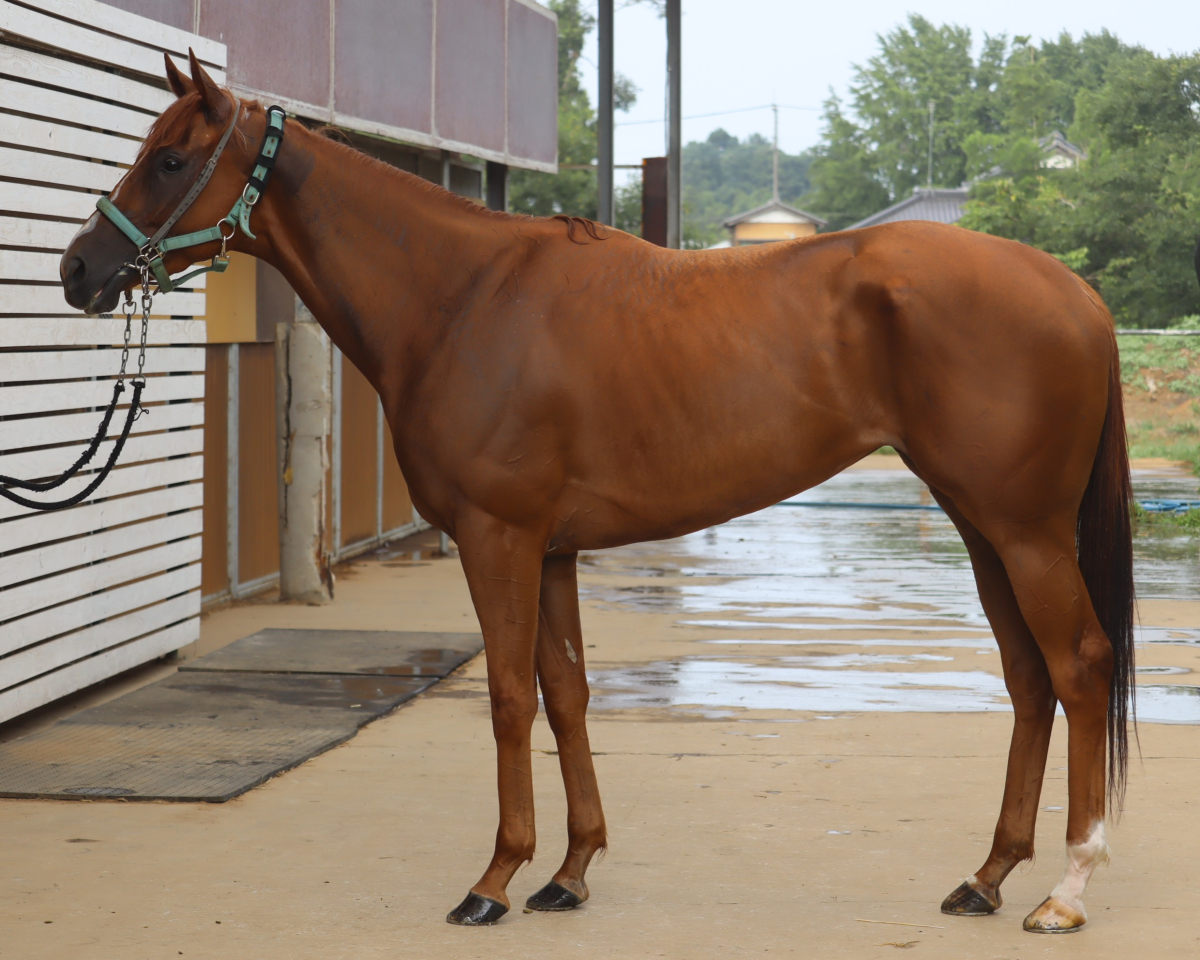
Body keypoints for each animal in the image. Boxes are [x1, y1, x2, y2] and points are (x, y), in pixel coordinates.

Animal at [61, 52, 1134, 934]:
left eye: (168, 160)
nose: (79, 271)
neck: (461, 297)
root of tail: (1076, 293)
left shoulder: (497, 538)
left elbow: (506, 696)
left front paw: (493, 881)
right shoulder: (552, 549)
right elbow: (567, 692)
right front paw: (569, 874)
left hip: (1026, 531)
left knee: (1079, 666)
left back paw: (1068, 889)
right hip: (982, 526)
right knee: (1029, 677)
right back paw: (987, 876)